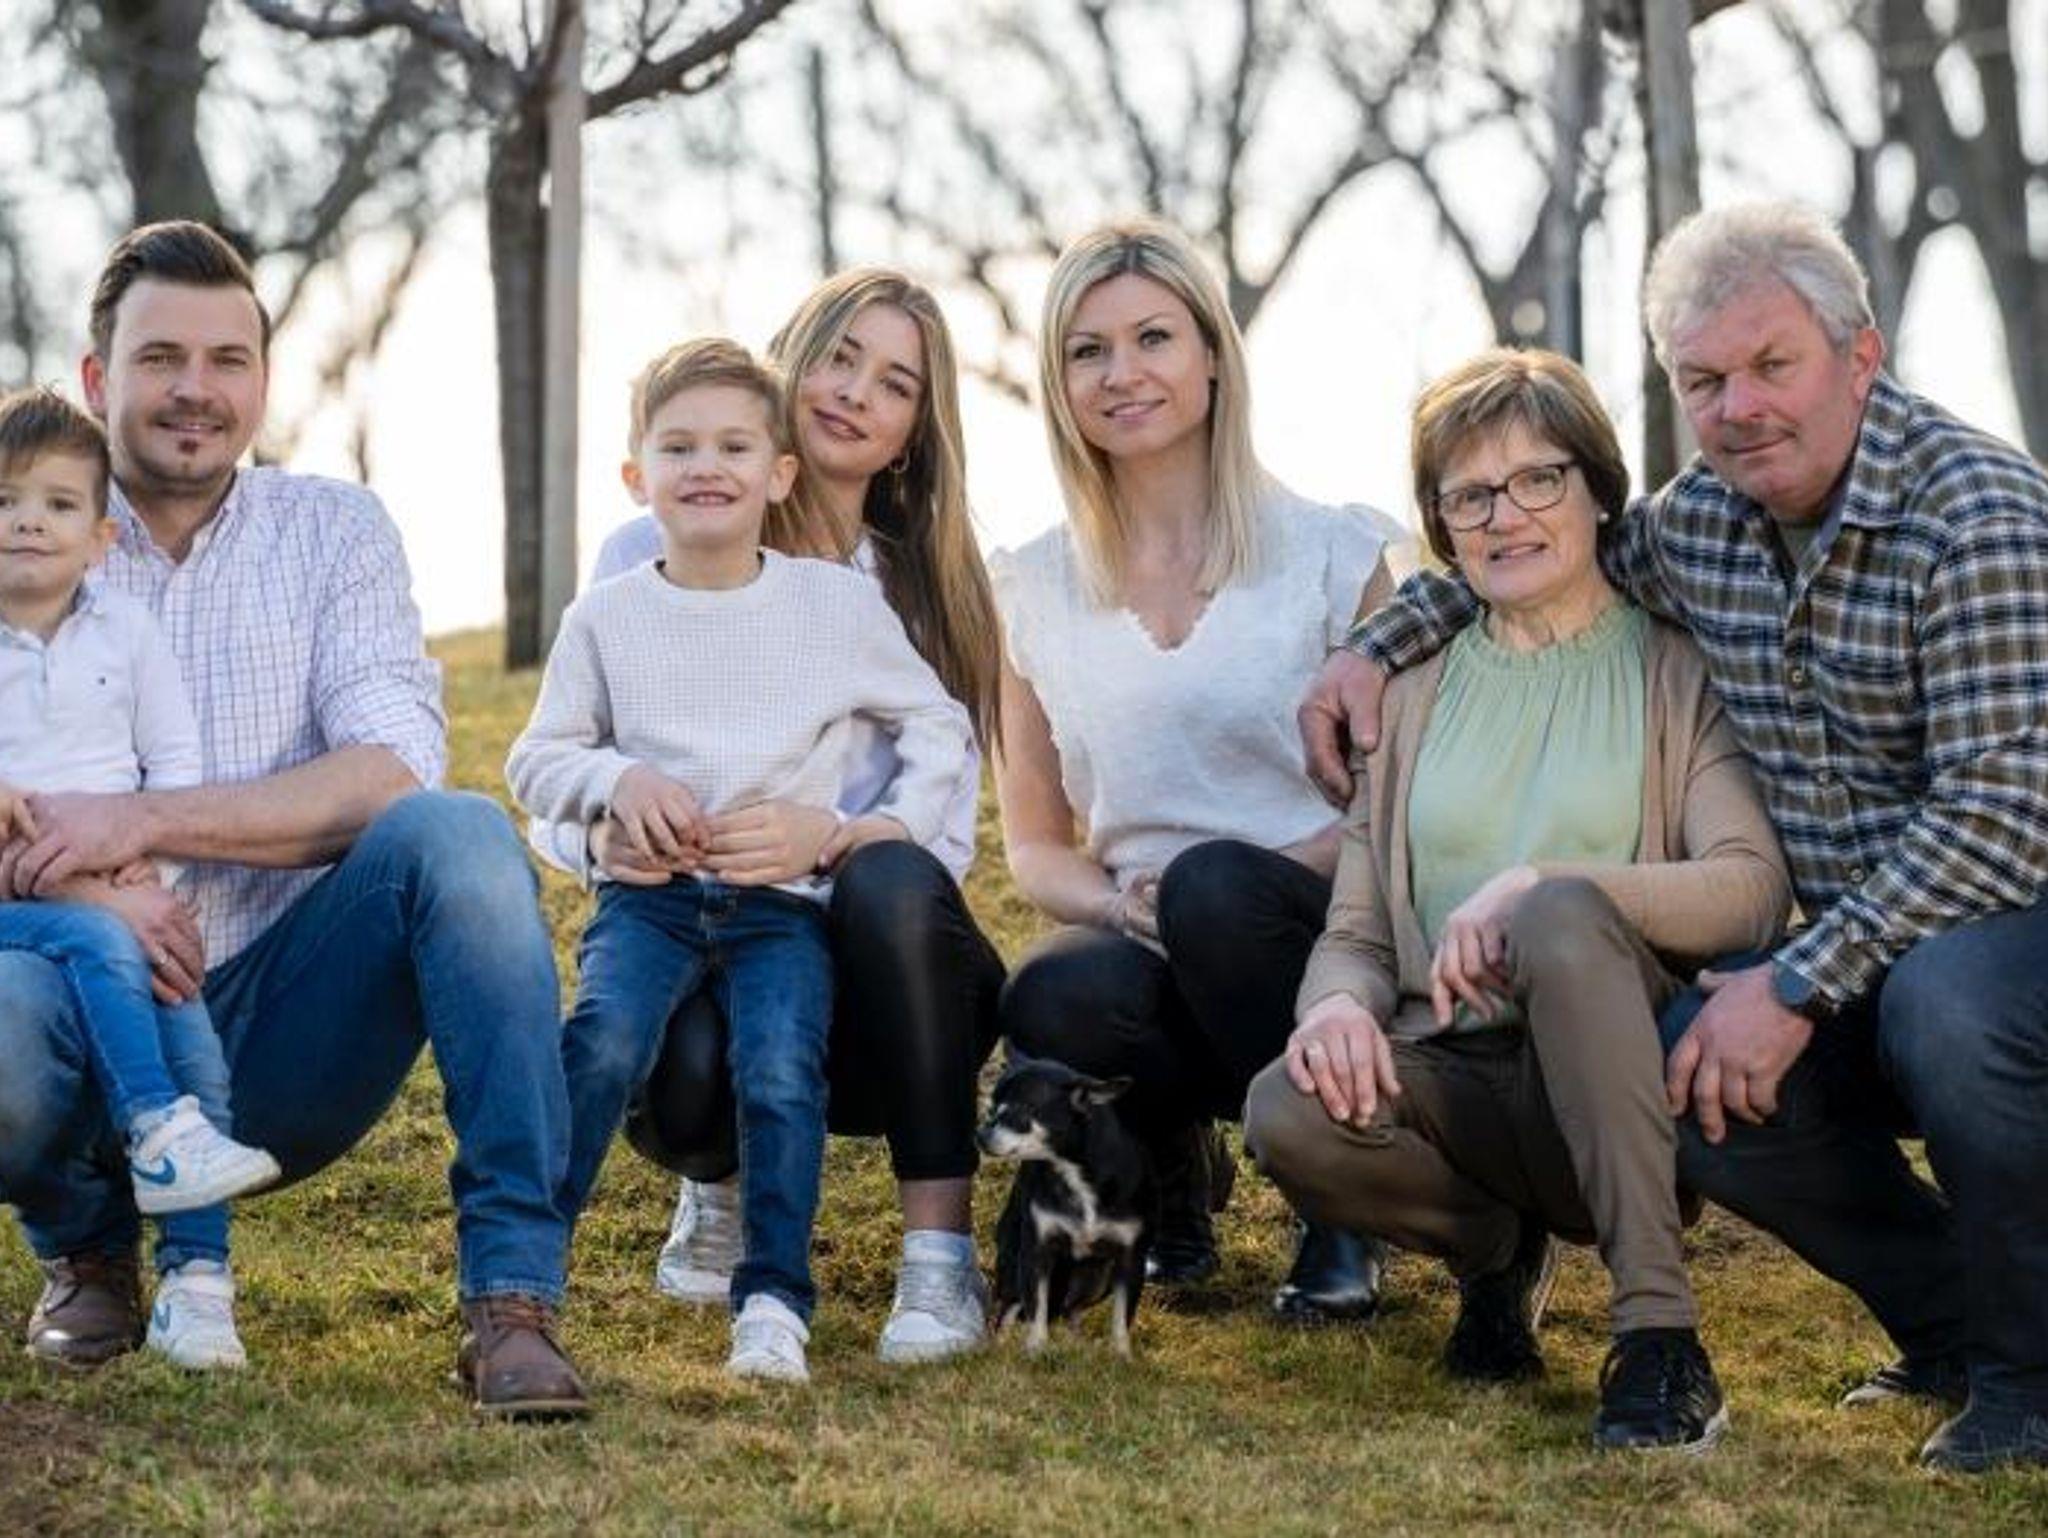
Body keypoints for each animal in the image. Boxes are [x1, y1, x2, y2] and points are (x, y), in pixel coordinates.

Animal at [977, 1056, 1156, 1356]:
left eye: (1019, 1114)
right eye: (991, 1109)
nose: (979, 1134)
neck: (1071, 1171)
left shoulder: (1131, 1260)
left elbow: (1122, 1317)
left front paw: (1122, 1356)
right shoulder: (1036, 1253)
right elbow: (1036, 1309)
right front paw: (1035, 1350)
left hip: (1098, 1280)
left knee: (1073, 1309)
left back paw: (1077, 1346)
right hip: (1012, 1264)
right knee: (1009, 1309)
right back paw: (999, 1346)